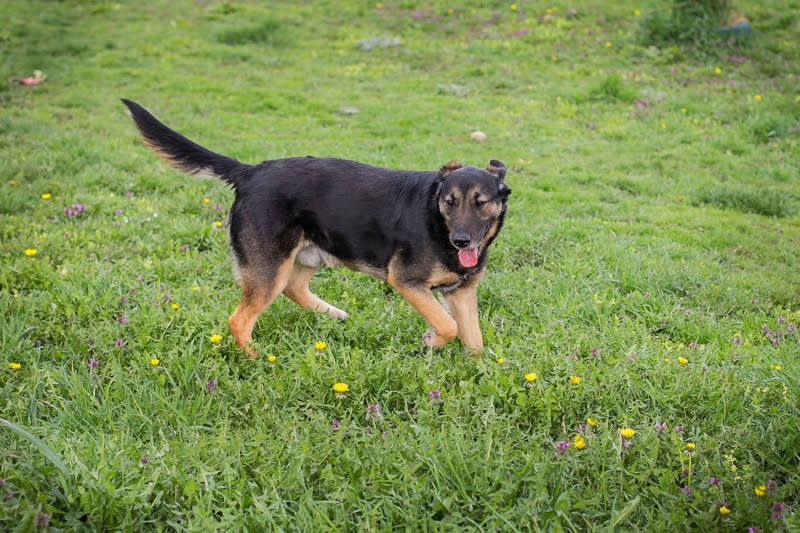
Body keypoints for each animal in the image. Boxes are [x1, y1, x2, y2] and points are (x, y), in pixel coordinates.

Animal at [122, 99, 510, 357]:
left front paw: (477, 372)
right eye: (449, 202)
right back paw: (257, 359)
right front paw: (432, 339)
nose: (461, 241)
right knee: (239, 320)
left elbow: (474, 341)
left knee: (293, 289)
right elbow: (449, 325)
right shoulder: (406, 281)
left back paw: (334, 313)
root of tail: (250, 171)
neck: (437, 224)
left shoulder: (461, 294)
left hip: (312, 255)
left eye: (480, 202)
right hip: (269, 268)